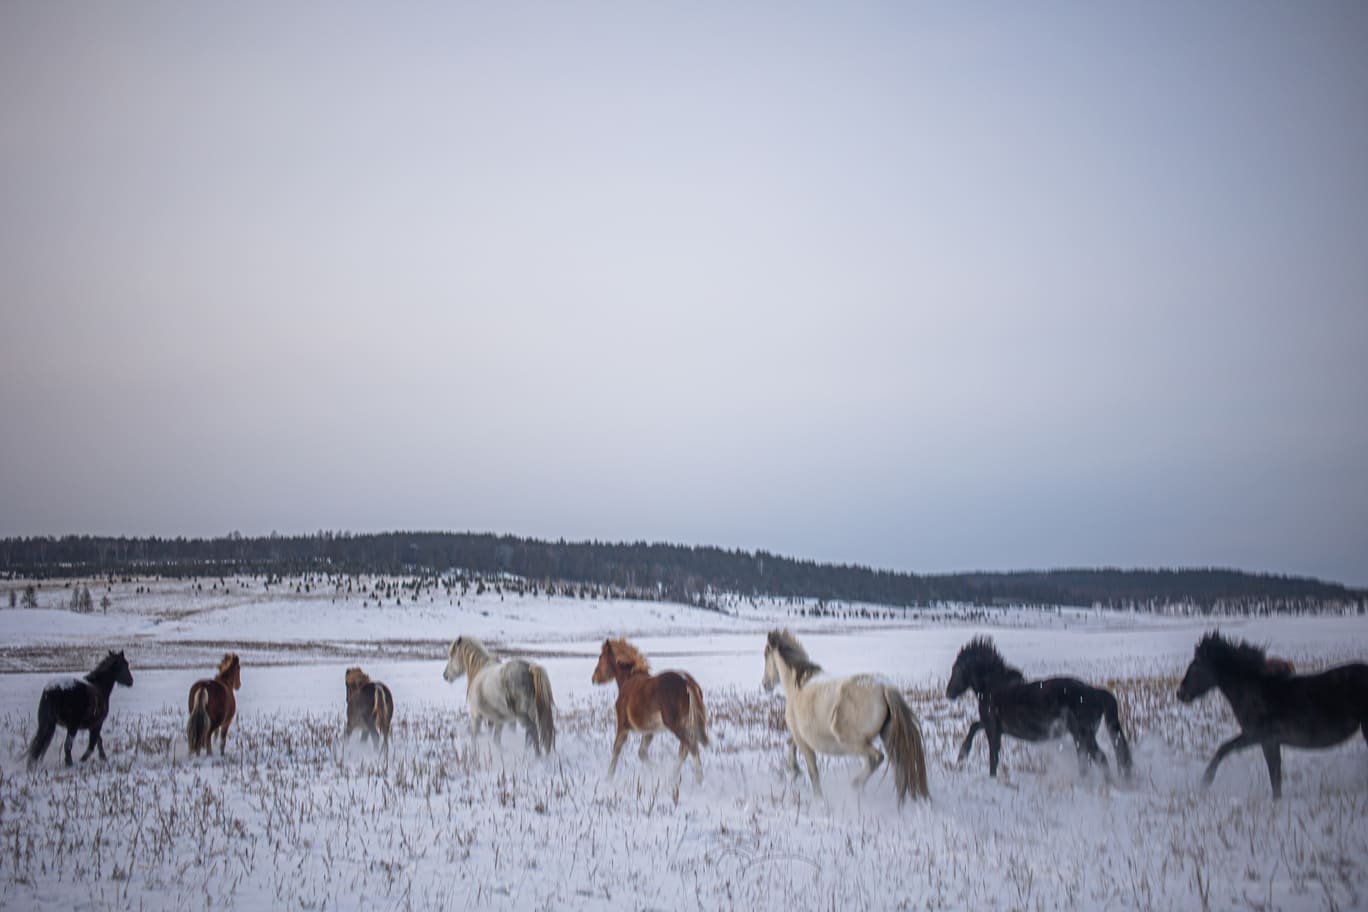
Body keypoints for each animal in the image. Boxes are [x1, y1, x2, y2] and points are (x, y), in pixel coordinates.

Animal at [590, 634, 711, 787]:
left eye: (600, 657)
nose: (594, 678)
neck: (627, 680)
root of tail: (687, 681)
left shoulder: (623, 725)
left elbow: (617, 749)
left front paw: (608, 777)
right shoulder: (649, 730)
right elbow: (642, 753)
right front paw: (657, 770)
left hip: (675, 724)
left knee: (691, 746)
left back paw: (698, 779)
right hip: (686, 722)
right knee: (685, 749)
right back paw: (672, 777)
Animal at [760, 631, 930, 803]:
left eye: (766, 654)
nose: (765, 684)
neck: (797, 687)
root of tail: (883, 686)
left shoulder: (803, 740)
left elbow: (813, 772)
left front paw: (817, 798)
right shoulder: (801, 734)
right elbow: (791, 743)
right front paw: (795, 770)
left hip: (852, 742)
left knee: (876, 758)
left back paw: (854, 786)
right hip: (887, 737)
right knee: (897, 766)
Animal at [946, 639, 1138, 782]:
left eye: (956, 669)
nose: (948, 694)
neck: (993, 687)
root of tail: (1095, 693)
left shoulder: (993, 729)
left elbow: (993, 757)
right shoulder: (995, 727)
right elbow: (974, 726)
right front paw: (963, 754)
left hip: (1084, 735)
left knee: (1100, 758)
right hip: (1080, 737)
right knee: (1086, 759)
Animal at [1176, 634, 1368, 798]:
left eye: (1196, 666)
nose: (1180, 693)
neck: (1254, 690)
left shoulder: (1260, 737)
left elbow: (1225, 749)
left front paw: (1205, 781)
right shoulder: (1269, 741)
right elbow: (1275, 776)